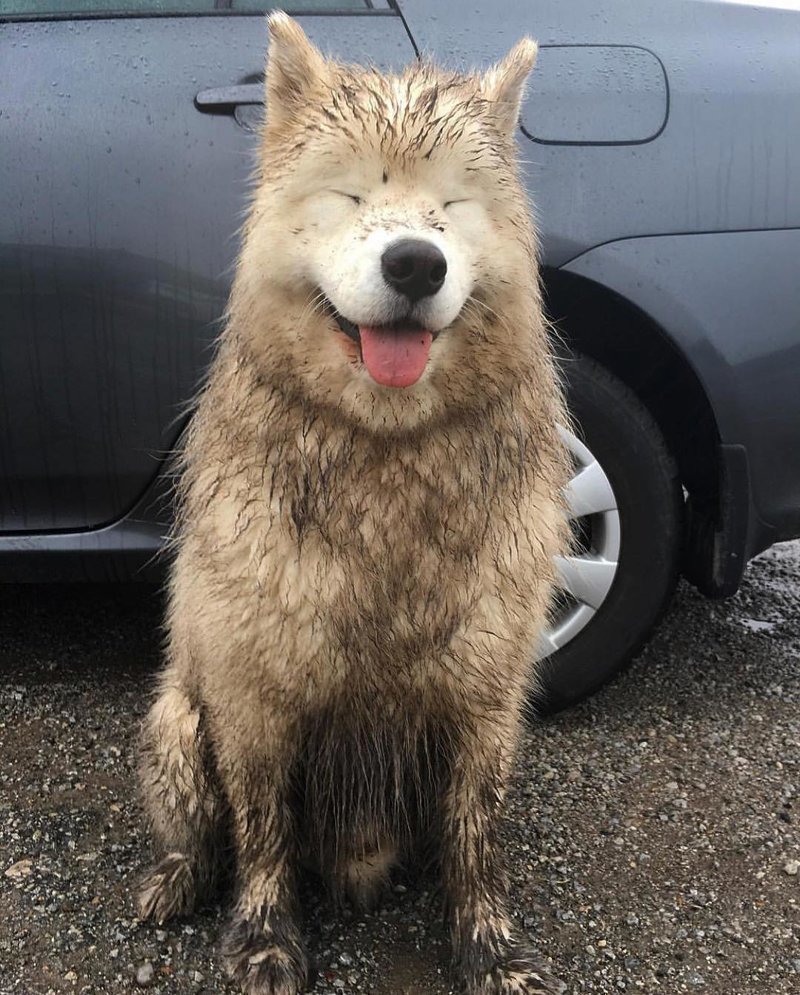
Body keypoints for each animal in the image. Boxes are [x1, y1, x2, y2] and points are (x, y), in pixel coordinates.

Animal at [141, 15, 572, 995]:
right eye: (347, 195)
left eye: (453, 207)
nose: (415, 261)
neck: (386, 453)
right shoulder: (254, 693)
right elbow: (262, 832)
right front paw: (264, 938)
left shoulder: (486, 700)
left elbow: (476, 838)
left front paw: (489, 946)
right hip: (177, 721)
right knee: (201, 831)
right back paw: (176, 878)